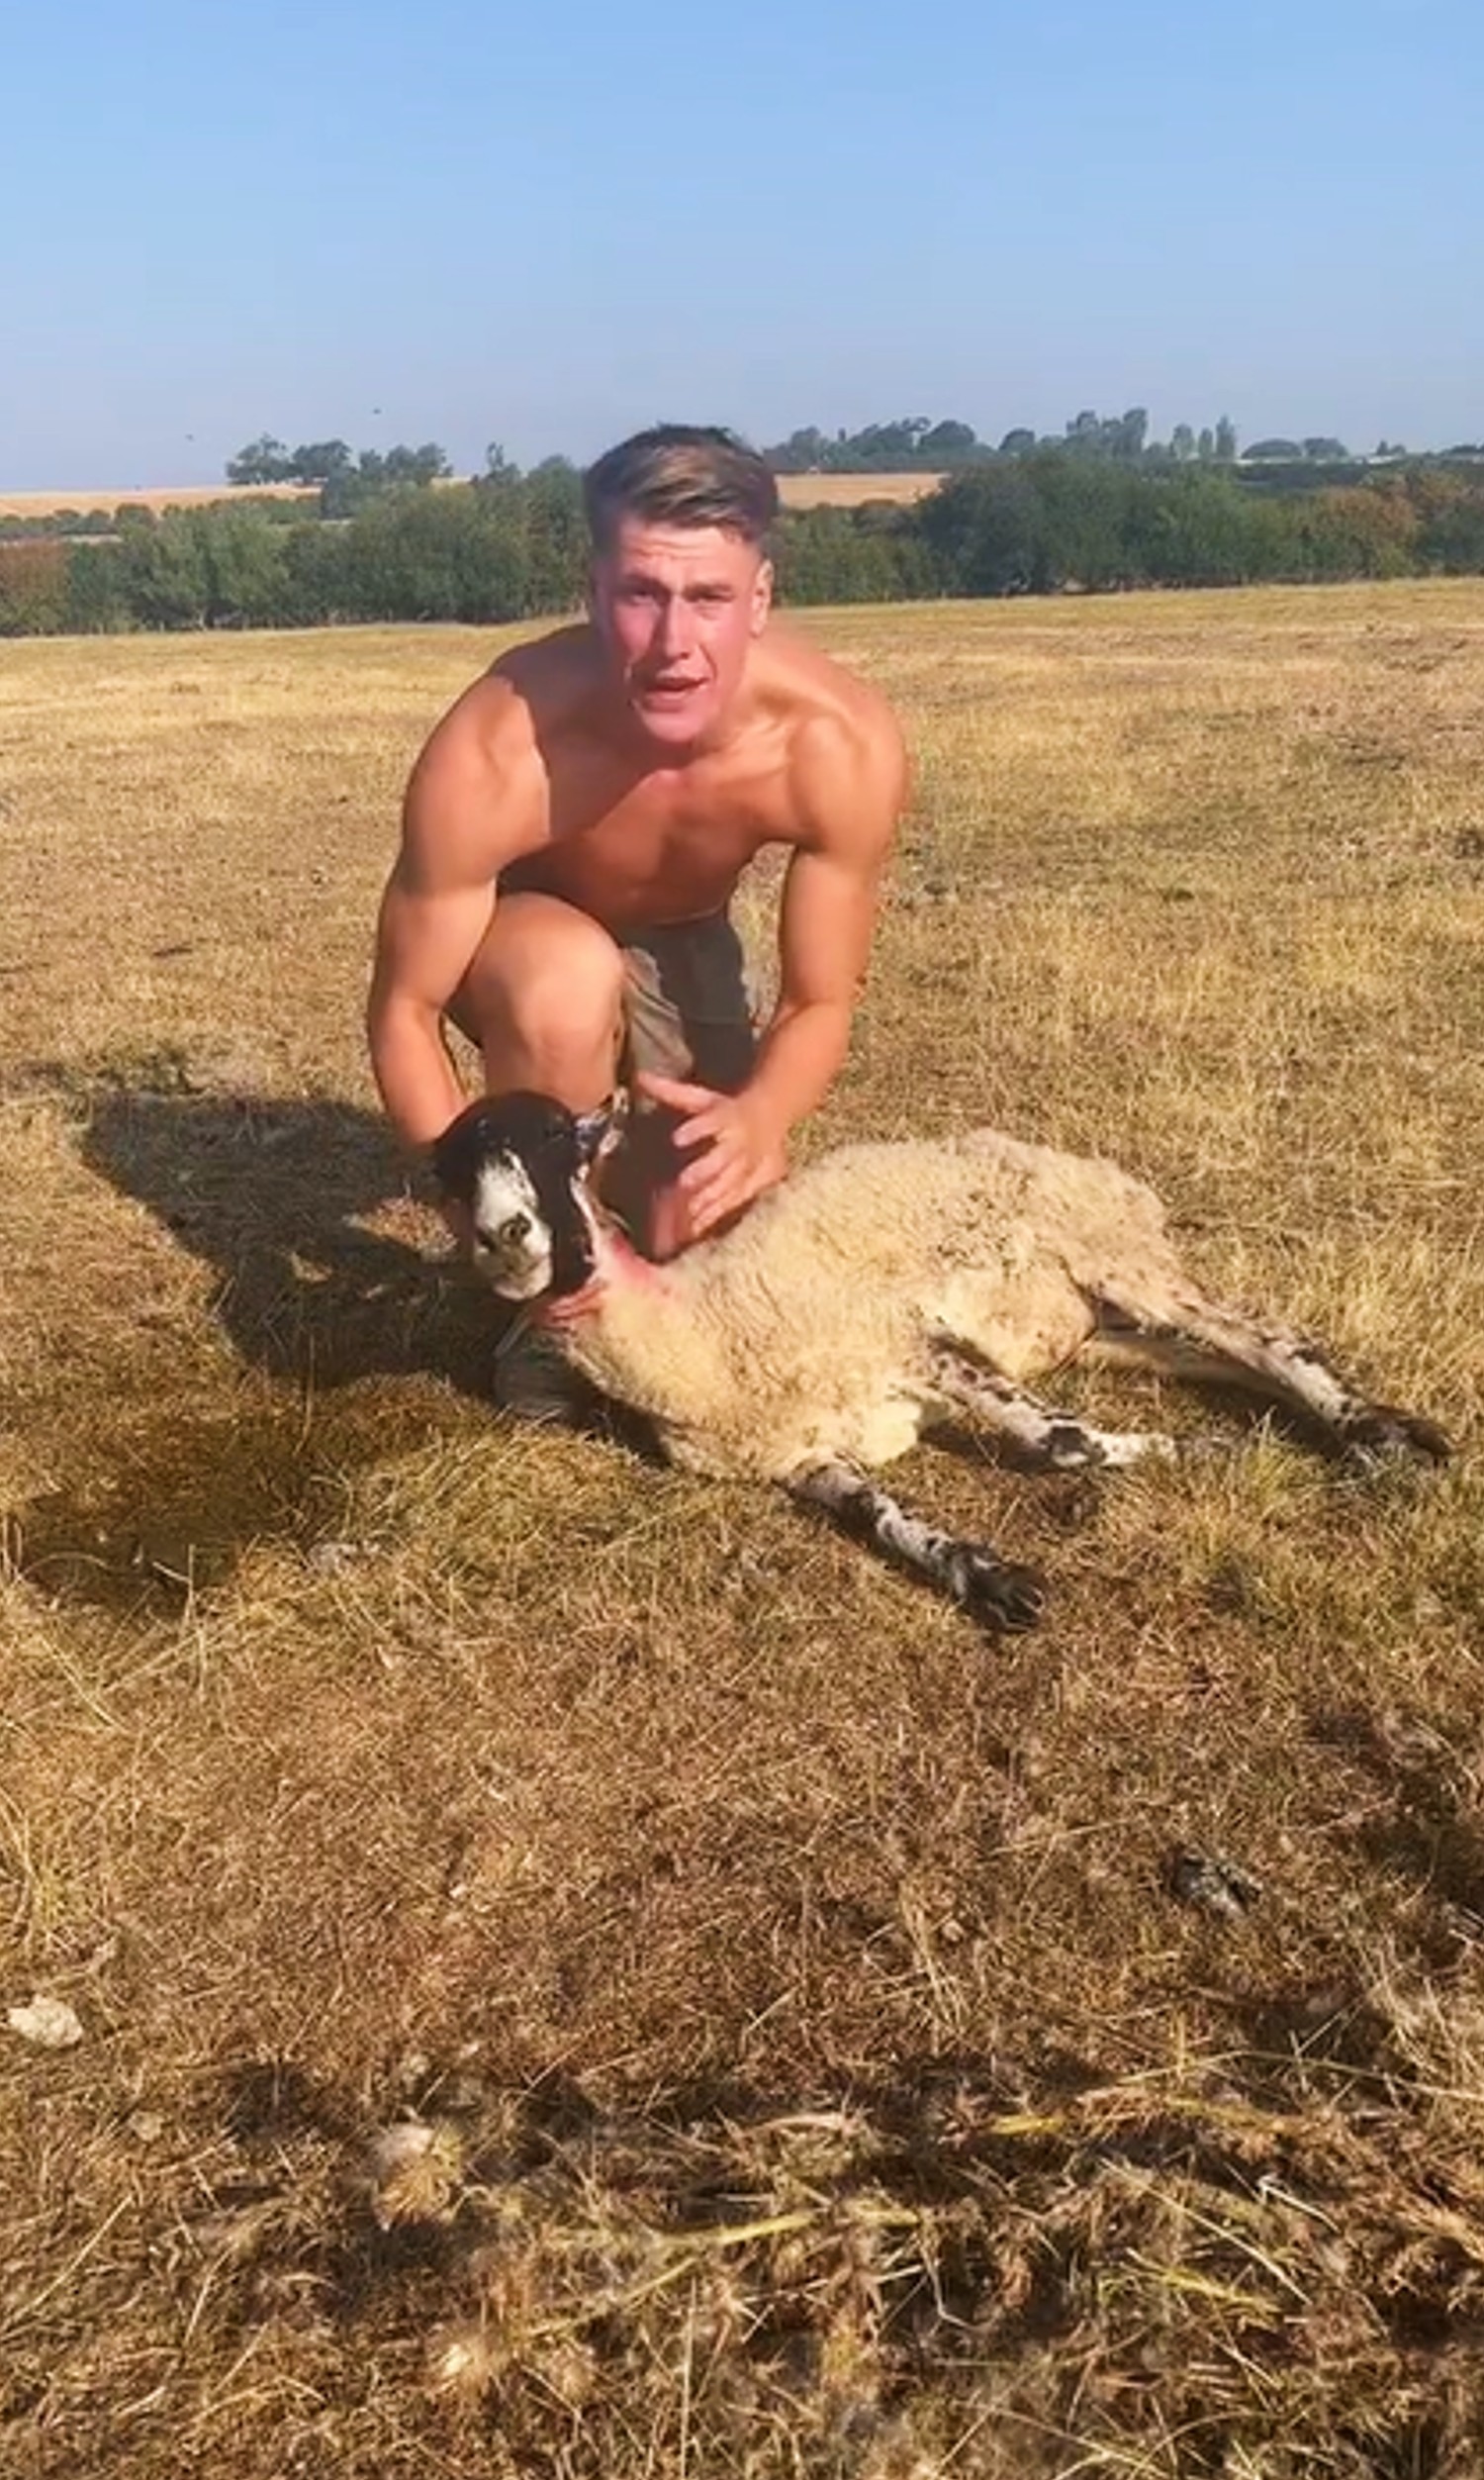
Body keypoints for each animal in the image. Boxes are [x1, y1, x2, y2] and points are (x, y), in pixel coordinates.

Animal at [431, 1091, 1450, 1631]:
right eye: (448, 1175)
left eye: (558, 1140)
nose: (506, 1237)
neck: (699, 1335)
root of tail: (1086, 1165)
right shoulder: (801, 1460)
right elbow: (883, 1518)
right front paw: (990, 1579)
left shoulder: (915, 1344)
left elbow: (1062, 1442)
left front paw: (1210, 1458)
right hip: (1081, 1323)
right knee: (1207, 1357)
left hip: (1113, 1253)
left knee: (1261, 1333)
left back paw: (1377, 1434)